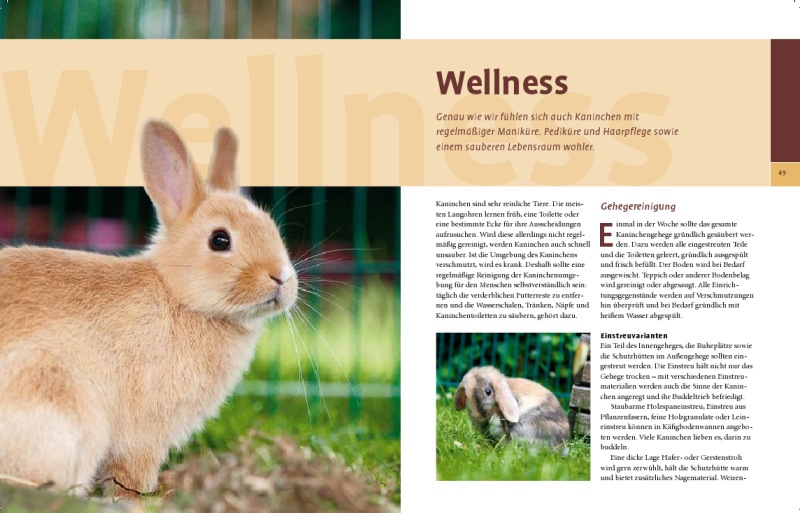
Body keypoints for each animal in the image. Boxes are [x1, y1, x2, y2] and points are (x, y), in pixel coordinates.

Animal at [0, 119, 298, 497]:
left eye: (272, 228)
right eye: (220, 240)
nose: (281, 278)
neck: (178, 295)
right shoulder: (145, 435)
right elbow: (133, 471)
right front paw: (143, 496)